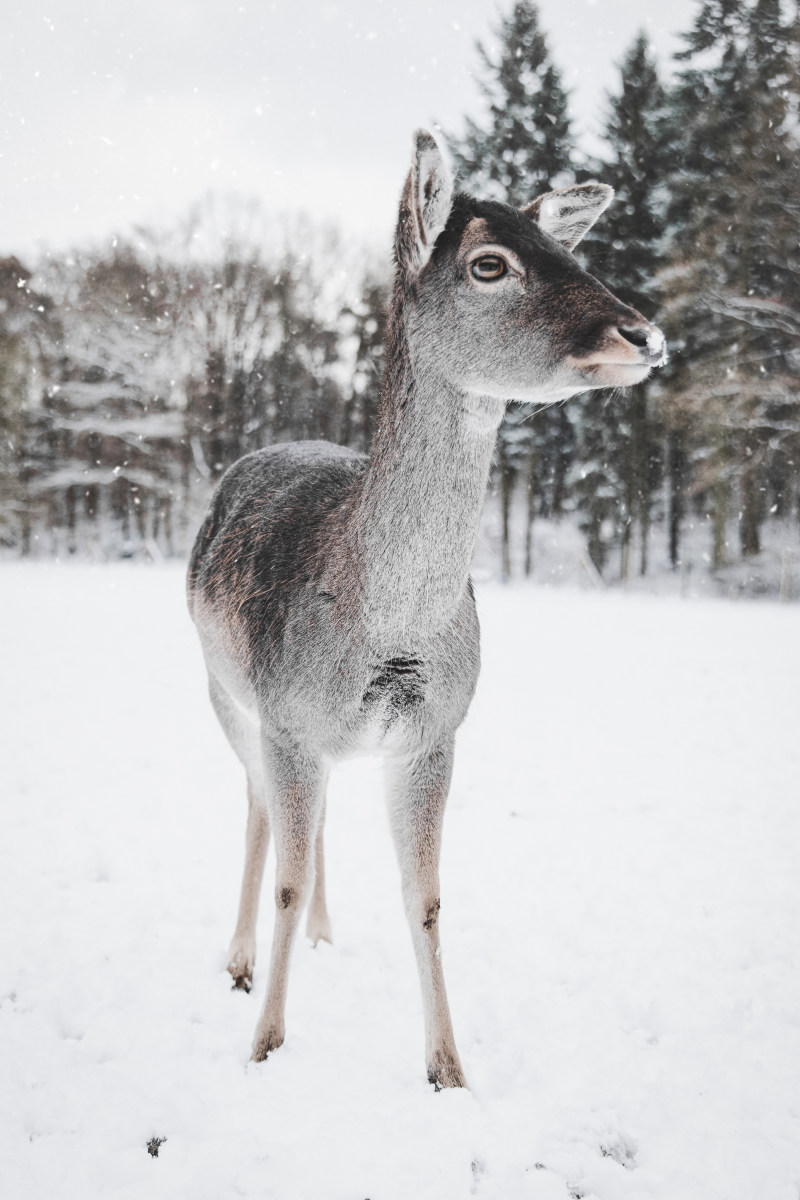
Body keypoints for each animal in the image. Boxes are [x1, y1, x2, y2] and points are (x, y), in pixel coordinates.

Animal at [184, 129, 666, 1089]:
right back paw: (239, 960)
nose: (643, 332)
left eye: (571, 249)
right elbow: (287, 873)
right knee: (257, 804)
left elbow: (428, 896)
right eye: (489, 264)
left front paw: (448, 1068)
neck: (392, 632)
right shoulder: (288, 718)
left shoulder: (436, 730)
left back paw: (325, 934)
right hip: (222, 689)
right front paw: (265, 1046)